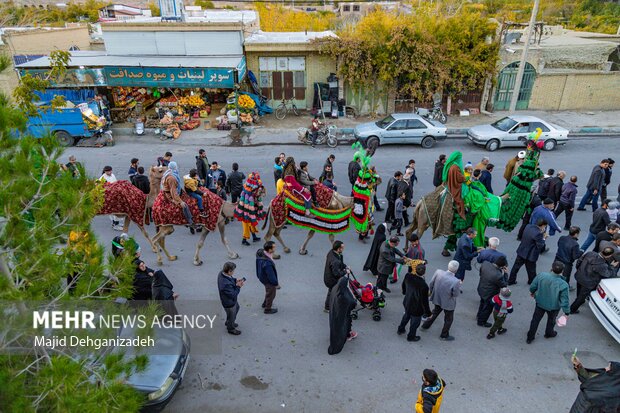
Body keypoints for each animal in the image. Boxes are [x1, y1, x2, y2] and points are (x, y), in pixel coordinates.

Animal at [404, 129, 544, 251]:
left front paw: (448, 249)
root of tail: (419, 204)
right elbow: (479, 237)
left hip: (418, 218)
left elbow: (457, 236)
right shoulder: (482, 219)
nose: (542, 175)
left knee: (409, 231)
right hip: (424, 221)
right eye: (537, 167)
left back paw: (406, 248)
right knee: (417, 236)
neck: (501, 206)